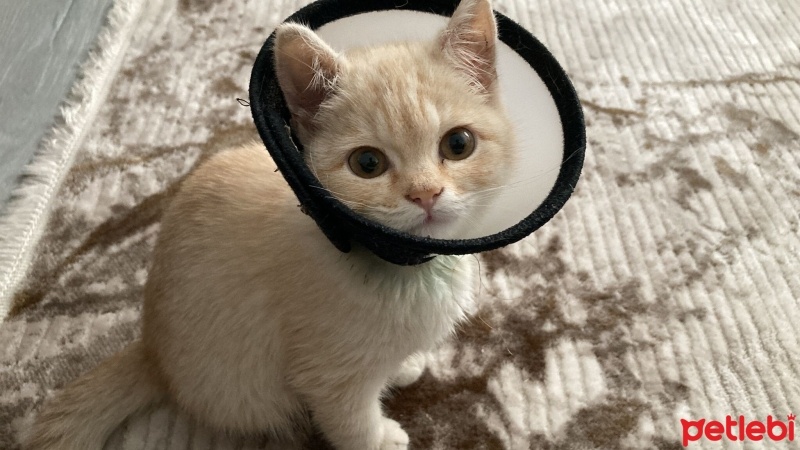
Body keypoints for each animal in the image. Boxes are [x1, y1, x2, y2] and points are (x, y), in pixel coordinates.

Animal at [25, 0, 516, 450]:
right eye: (368, 164)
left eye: (458, 144)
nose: (425, 194)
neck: (406, 269)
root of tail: (151, 352)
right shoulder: (326, 372)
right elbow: (350, 422)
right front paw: (380, 438)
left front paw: (404, 364)